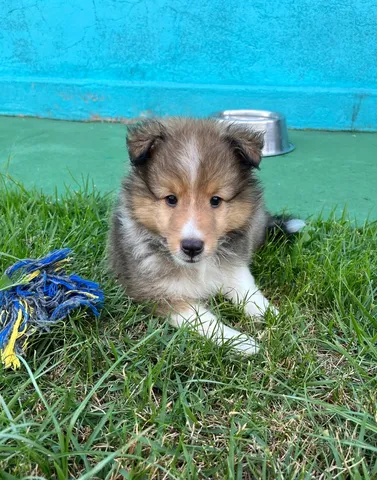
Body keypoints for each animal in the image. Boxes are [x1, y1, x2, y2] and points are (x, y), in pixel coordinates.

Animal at [108, 118, 302, 354]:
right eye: (171, 199)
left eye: (215, 200)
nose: (192, 247)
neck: (198, 267)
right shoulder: (156, 294)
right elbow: (204, 320)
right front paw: (242, 342)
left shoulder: (234, 266)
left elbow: (247, 289)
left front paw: (272, 314)